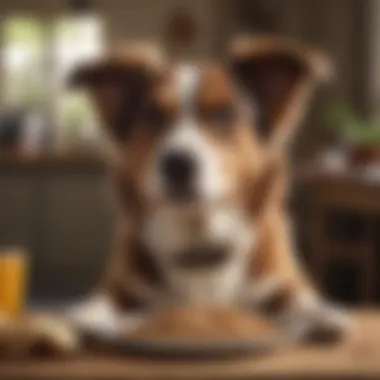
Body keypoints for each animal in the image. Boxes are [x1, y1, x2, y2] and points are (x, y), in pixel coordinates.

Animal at [55, 37, 350, 346]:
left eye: (223, 114)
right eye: (152, 116)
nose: (177, 164)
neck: (199, 243)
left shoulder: (282, 280)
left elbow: (297, 300)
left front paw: (319, 315)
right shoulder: (120, 285)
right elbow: (103, 303)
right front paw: (87, 317)